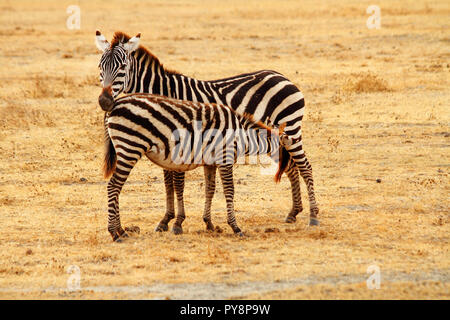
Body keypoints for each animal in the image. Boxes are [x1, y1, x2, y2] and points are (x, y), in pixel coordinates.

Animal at [96, 30, 320, 228]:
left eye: (122, 67)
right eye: (100, 66)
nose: (105, 101)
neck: (162, 91)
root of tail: (282, 76)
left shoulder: (180, 140)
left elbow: (177, 183)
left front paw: (176, 221)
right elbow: (169, 183)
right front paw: (167, 220)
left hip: (291, 129)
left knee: (305, 167)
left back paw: (313, 215)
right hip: (275, 138)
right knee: (291, 168)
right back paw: (293, 212)